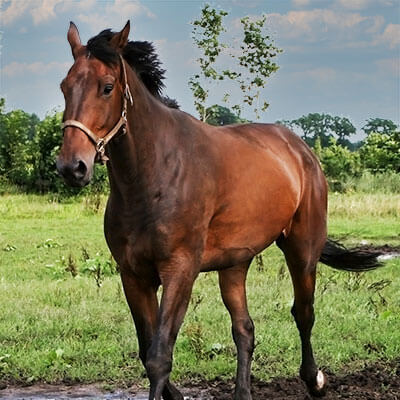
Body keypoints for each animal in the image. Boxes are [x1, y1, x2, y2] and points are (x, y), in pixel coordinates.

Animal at [55, 22, 382, 400]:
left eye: (107, 87)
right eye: (65, 86)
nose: (72, 166)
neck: (154, 175)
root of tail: (301, 150)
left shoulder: (180, 270)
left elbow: (159, 356)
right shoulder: (133, 274)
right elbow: (146, 348)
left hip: (302, 250)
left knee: (303, 313)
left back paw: (314, 380)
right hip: (235, 264)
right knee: (244, 329)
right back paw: (244, 391)